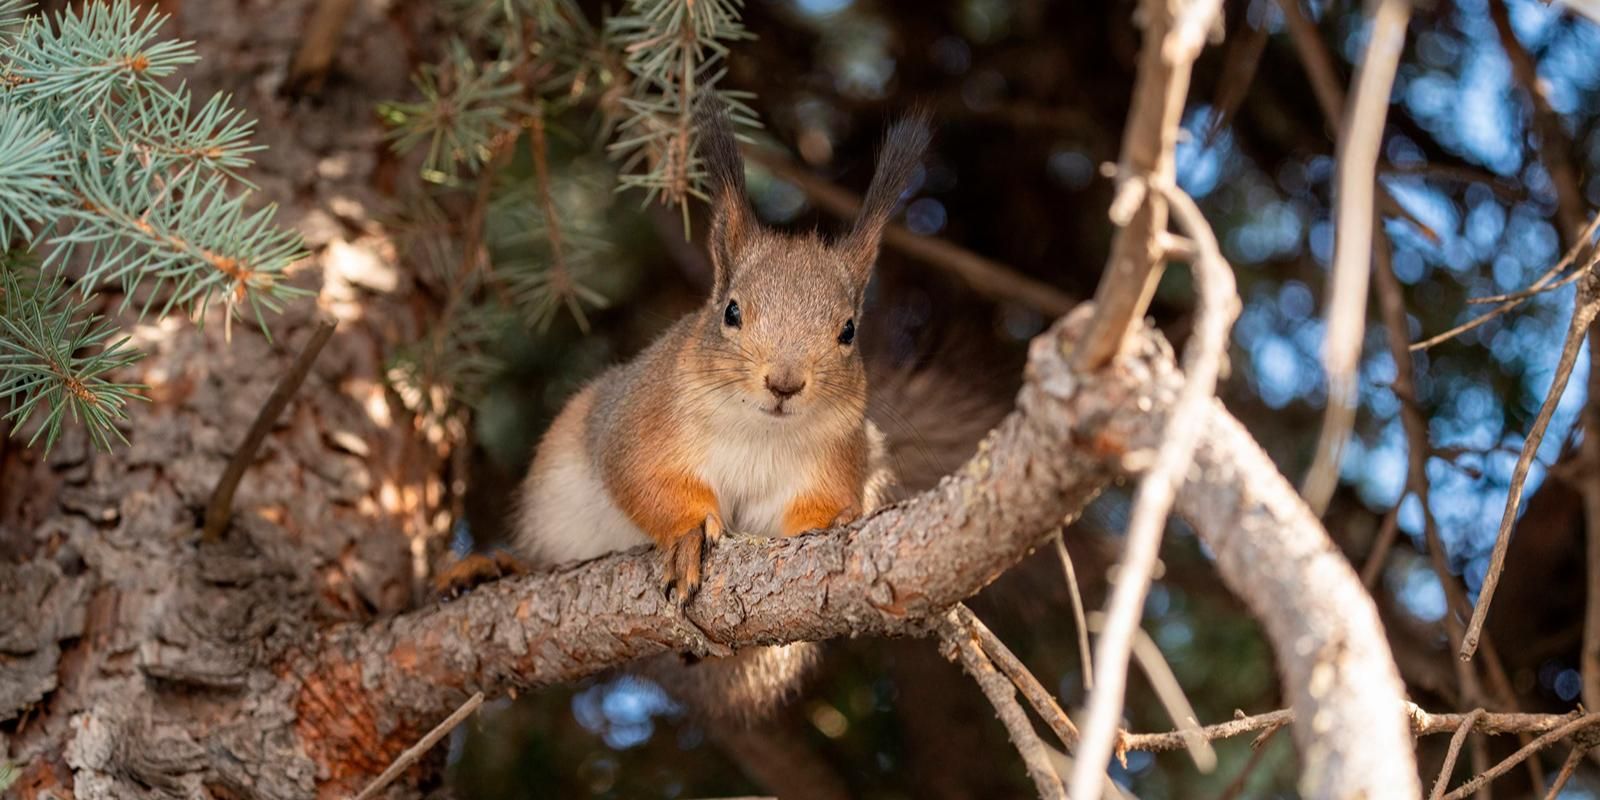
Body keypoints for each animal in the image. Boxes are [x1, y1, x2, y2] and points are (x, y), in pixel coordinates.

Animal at [510, 105, 933, 722]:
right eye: (731, 311)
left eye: (849, 330)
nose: (785, 384)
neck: (758, 430)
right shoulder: (636, 423)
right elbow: (639, 479)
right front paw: (687, 534)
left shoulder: (838, 460)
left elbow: (816, 510)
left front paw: (830, 522)